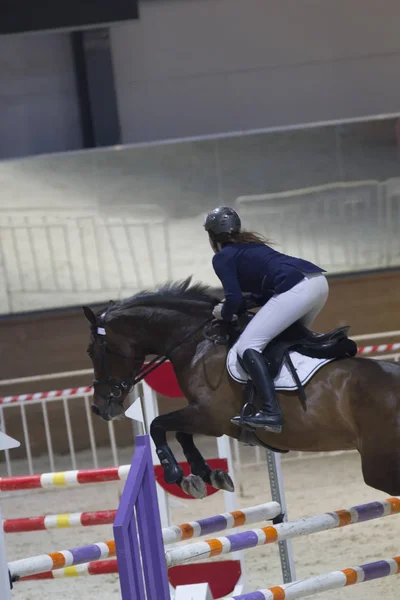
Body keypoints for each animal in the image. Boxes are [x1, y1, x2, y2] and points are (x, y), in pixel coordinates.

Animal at [83, 278, 400, 500]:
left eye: (91, 351)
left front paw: (179, 475)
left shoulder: (210, 416)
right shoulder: (210, 420)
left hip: (378, 467)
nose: (99, 407)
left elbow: (158, 425)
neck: (197, 343)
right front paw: (207, 474)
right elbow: (181, 434)